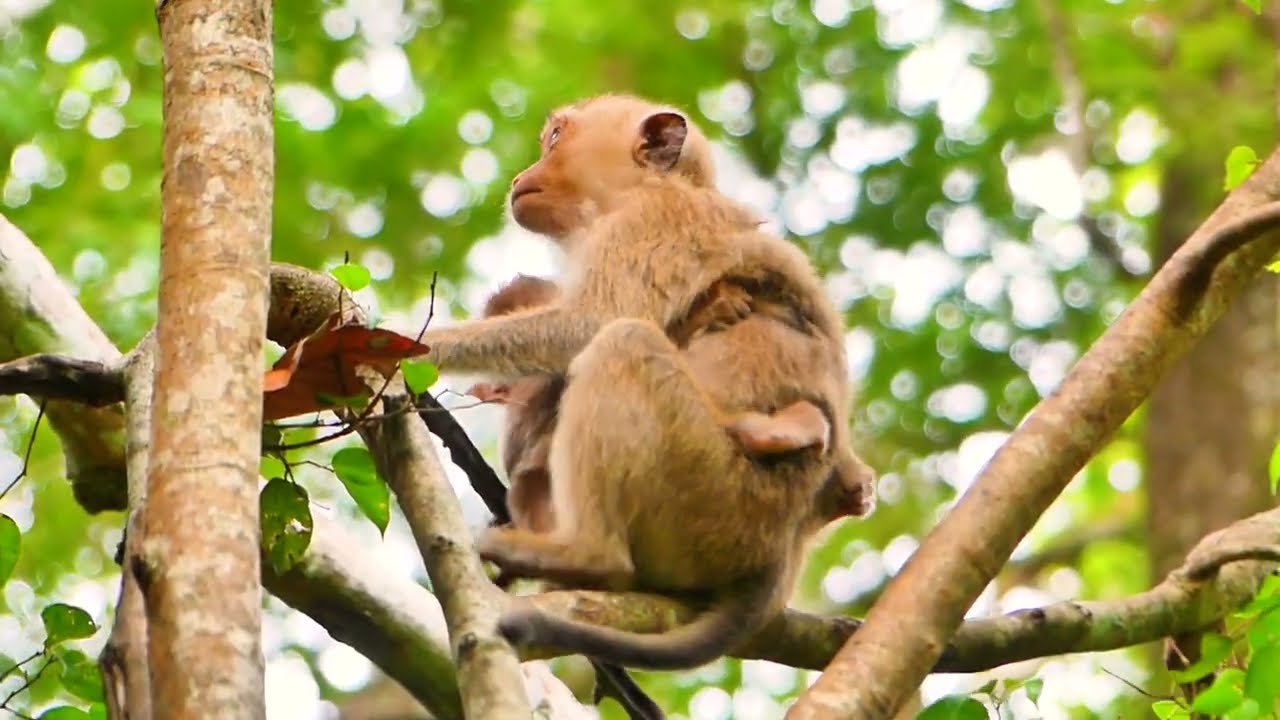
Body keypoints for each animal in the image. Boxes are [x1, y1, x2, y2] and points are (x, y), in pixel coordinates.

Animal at [415, 93, 873, 670]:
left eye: (555, 139)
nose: (522, 176)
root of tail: (780, 546)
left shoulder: (642, 223)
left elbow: (593, 322)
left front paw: (398, 341)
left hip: (713, 492)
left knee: (622, 343)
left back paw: (586, 555)